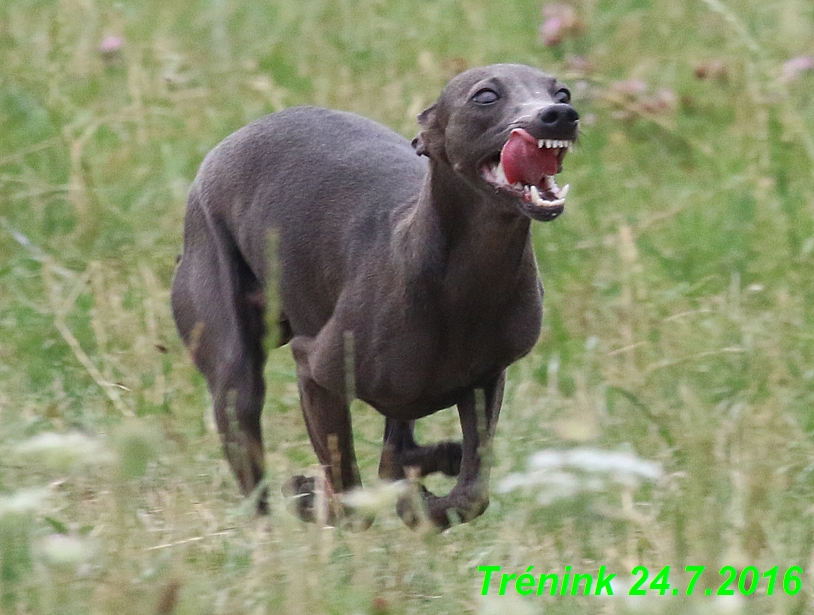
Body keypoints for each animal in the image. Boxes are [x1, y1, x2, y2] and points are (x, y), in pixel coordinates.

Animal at [172, 63, 580, 528]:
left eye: (563, 92)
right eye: (486, 96)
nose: (559, 116)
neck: (462, 285)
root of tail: (228, 143)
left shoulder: (486, 381)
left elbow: (471, 493)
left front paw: (425, 501)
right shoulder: (313, 369)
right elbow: (349, 496)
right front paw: (315, 498)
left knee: (395, 453)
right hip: (233, 370)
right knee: (256, 471)